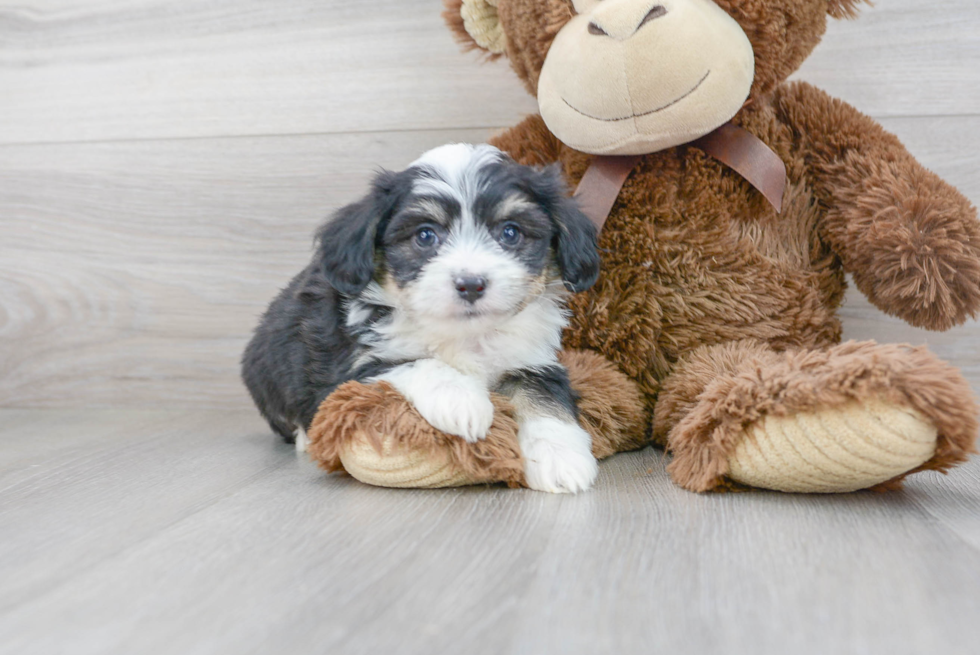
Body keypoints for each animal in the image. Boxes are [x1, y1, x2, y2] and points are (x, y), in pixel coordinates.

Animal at [241, 144, 600, 492]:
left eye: (510, 233)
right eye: (425, 236)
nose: (471, 284)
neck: (465, 334)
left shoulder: (532, 360)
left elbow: (543, 400)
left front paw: (559, 457)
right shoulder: (351, 367)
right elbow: (417, 362)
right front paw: (461, 401)